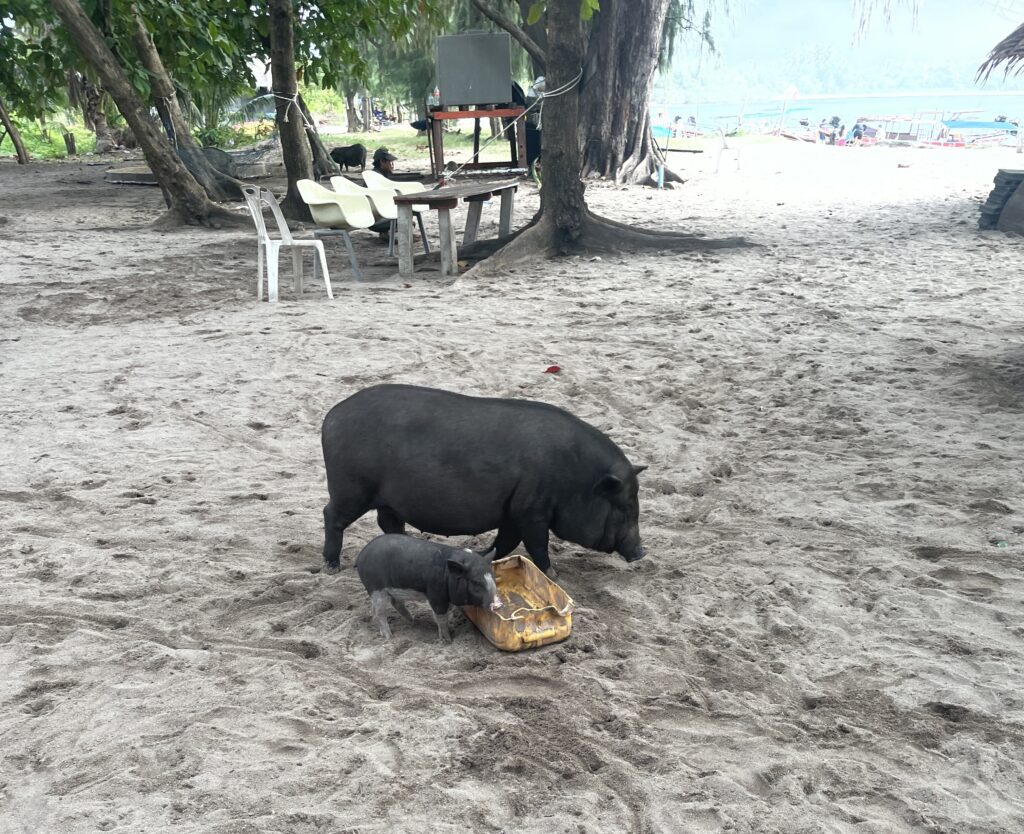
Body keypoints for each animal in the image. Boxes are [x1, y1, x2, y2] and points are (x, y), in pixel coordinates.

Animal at [321, 384, 647, 575]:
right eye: (626, 508)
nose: (641, 552)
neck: (576, 479)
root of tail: (331, 416)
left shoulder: (513, 513)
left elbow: (505, 543)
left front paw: (481, 555)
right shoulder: (532, 510)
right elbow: (537, 544)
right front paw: (553, 576)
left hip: (387, 500)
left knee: (388, 523)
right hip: (352, 488)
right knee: (331, 515)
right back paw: (331, 566)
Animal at [355, 534, 502, 642]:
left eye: (493, 577)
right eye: (476, 582)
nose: (497, 605)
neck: (448, 576)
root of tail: (361, 555)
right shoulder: (436, 595)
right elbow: (441, 618)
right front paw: (447, 640)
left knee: (393, 603)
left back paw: (412, 621)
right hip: (376, 588)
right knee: (380, 611)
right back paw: (389, 636)